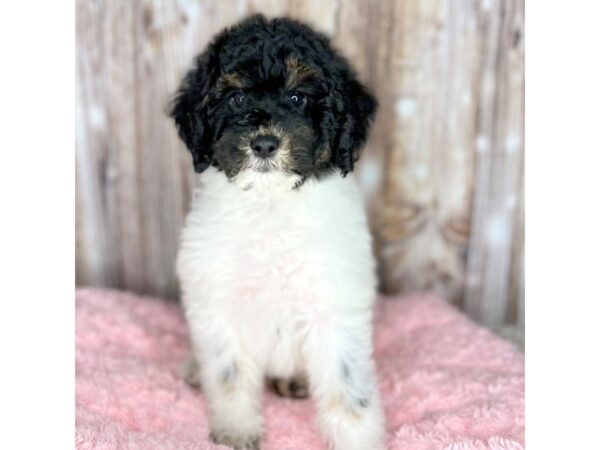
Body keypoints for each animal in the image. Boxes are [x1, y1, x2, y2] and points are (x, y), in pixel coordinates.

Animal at [170, 14, 384, 450]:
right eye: (236, 99)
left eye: (298, 98)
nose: (265, 143)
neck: (271, 203)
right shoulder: (218, 302)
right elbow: (230, 374)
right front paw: (236, 428)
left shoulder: (335, 306)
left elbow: (348, 388)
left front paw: (357, 439)